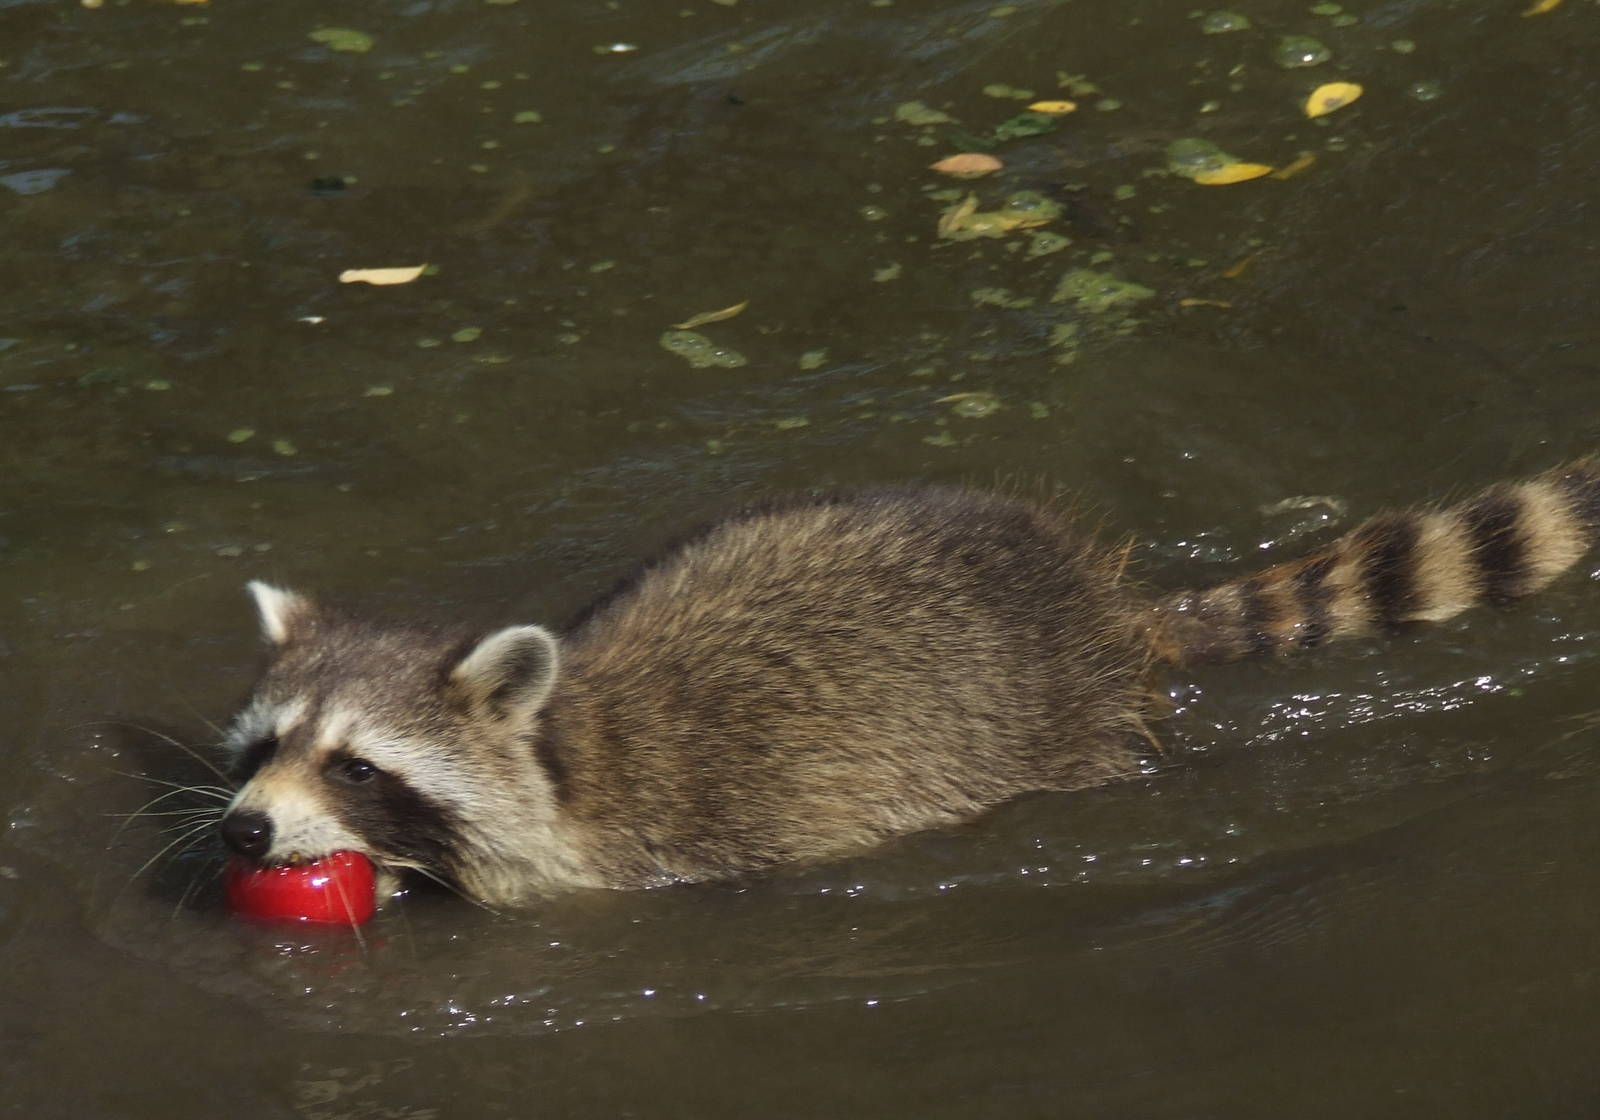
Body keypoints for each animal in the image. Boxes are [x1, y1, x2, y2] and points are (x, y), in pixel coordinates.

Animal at [218, 458, 1600, 907]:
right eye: (260, 748)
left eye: (356, 765)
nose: (242, 829)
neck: (563, 749)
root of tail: (1098, 602)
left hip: (1065, 726)